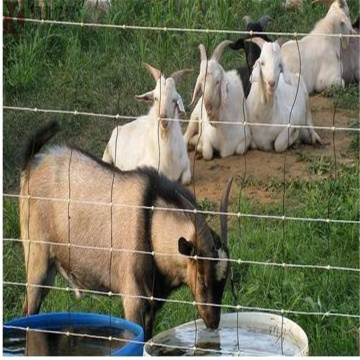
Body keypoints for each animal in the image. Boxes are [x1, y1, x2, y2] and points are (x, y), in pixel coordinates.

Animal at [19, 121, 232, 340]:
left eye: (225, 280)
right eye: (201, 277)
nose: (213, 322)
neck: (151, 224)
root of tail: (32, 165)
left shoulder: (151, 305)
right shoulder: (133, 299)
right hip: (37, 258)